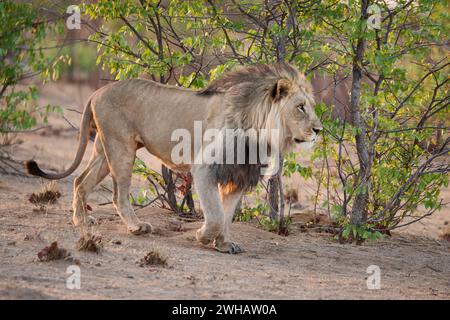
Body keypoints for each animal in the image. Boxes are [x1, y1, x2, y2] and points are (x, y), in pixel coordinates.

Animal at [24, 62, 322, 252]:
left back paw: (82, 221)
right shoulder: (205, 168)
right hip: (121, 149)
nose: (319, 130)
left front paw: (225, 244)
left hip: (103, 151)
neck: (259, 130)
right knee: (118, 194)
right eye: (300, 107)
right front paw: (203, 236)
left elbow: (226, 215)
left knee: (79, 182)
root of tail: (97, 92)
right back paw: (136, 227)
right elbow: (215, 215)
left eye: (311, 107)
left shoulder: (237, 175)